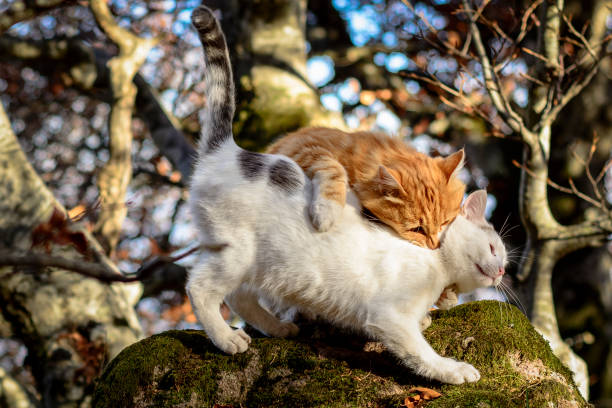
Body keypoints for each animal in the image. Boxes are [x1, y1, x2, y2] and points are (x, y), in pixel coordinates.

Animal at [266, 127, 464, 249]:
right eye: (417, 230)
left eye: (445, 222)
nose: (434, 246)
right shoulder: (304, 145)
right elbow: (335, 168)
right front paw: (327, 212)